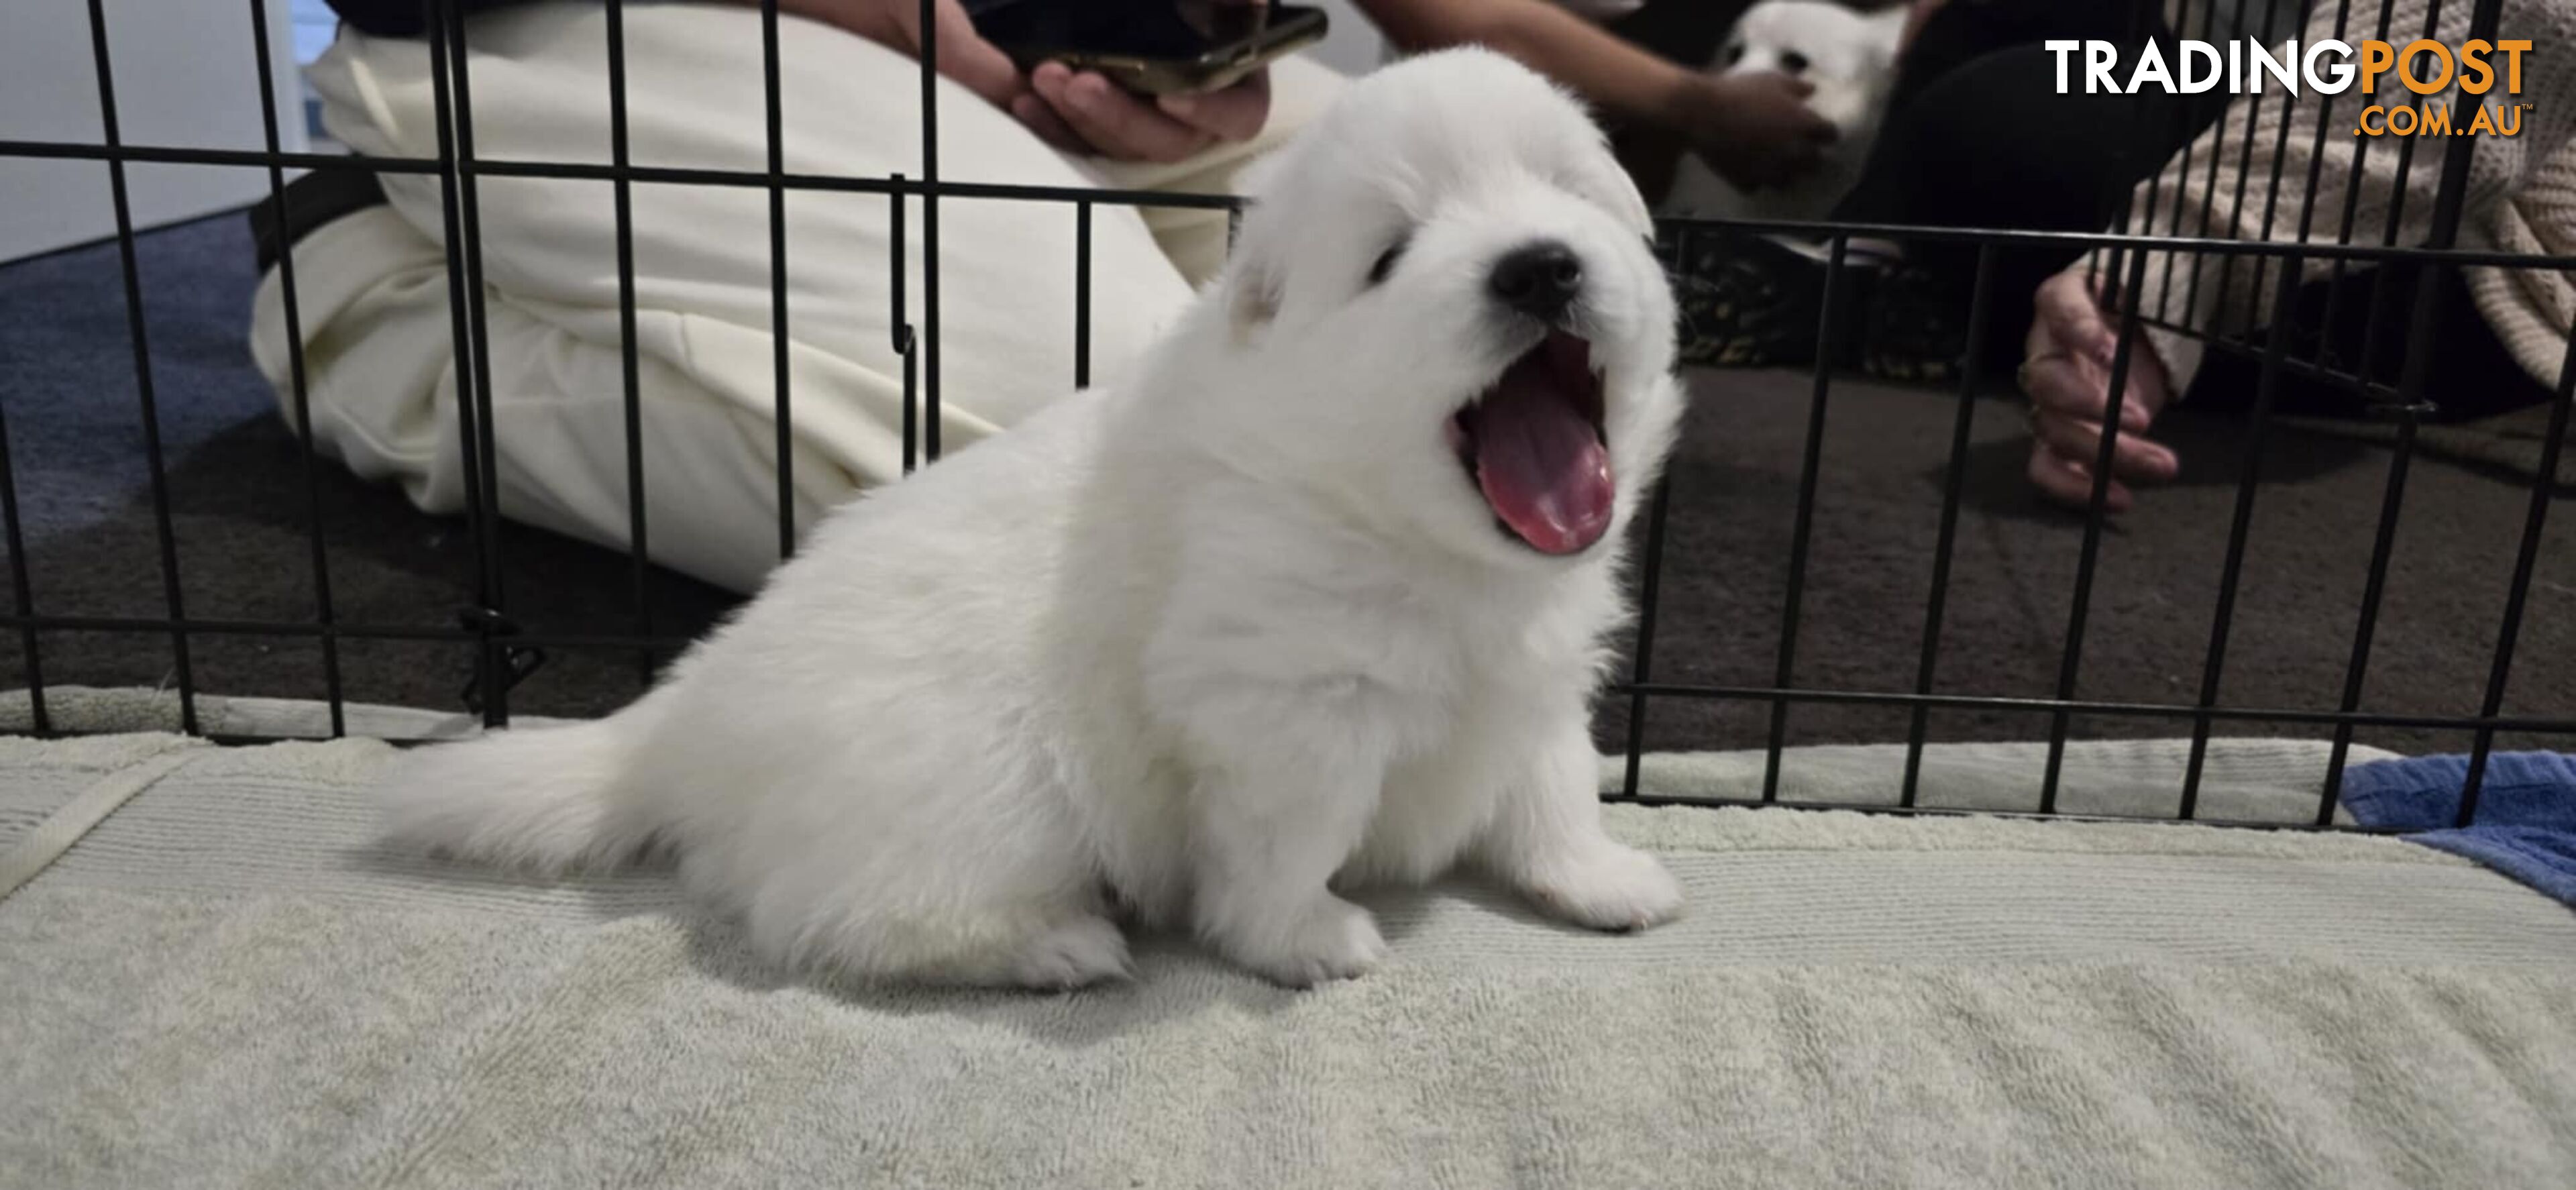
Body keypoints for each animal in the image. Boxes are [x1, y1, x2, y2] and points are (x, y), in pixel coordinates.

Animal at [368, 48, 1690, 983]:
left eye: (1567, 194)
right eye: (1389, 256)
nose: (1538, 265)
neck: (1430, 543)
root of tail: (676, 723)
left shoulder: (1540, 677)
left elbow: (1553, 787)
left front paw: (1603, 878)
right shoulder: (1287, 707)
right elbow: (1287, 839)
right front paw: (1302, 939)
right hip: (987, 793)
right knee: (835, 914)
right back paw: (1057, 945)